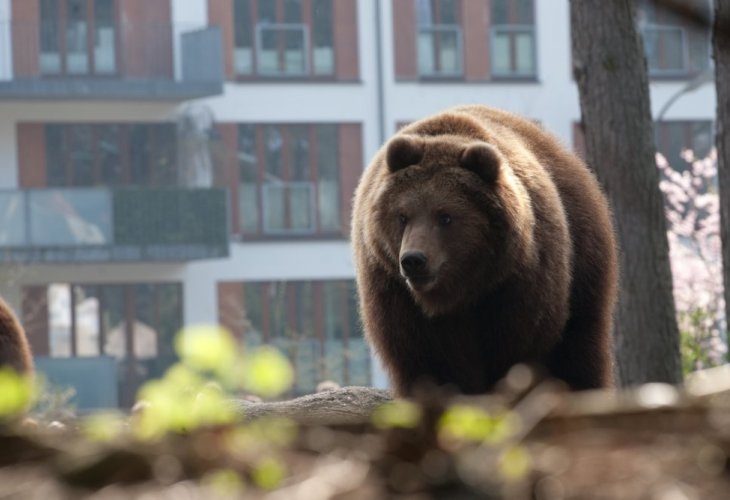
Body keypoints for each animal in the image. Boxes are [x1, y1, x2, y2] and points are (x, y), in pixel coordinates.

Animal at [350, 104, 616, 394]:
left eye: (445, 216)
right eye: (402, 216)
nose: (413, 260)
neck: (460, 291)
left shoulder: (518, 285)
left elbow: (516, 350)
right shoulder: (396, 295)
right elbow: (429, 360)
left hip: (584, 265)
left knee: (580, 345)